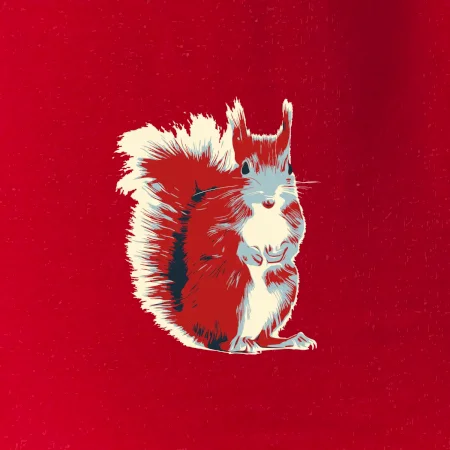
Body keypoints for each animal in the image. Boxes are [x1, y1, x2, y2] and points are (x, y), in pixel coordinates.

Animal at [116, 99, 317, 354]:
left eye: (289, 168)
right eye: (244, 168)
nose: (270, 196)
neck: (265, 210)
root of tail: (193, 324)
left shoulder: (292, 214)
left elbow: (297, 234)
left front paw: (283, 252)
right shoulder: (220, 214)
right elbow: (218, 237)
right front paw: (249, 253)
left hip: (284, 287)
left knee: (264, 337)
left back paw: (288, 340)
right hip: (231, 289)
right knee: (222, 342)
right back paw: (241, 345)